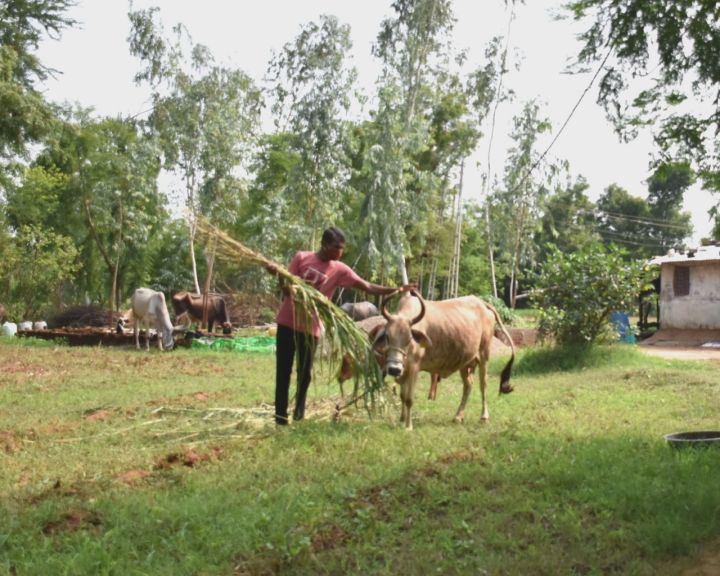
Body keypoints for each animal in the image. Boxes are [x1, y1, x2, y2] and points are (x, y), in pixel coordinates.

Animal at [374, 292, 516, 428]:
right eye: (387, 336)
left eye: (409, 339)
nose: (394, 369)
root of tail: (482, 303)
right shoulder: (404, 369)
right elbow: (403, 395)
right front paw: (402, 419)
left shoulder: (414, 367)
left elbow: (409, 399)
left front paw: (408, 426)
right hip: (465, 362)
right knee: (468, 385)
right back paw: (458, 416)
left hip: (484, 356)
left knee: (483, 385)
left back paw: (484, 417)